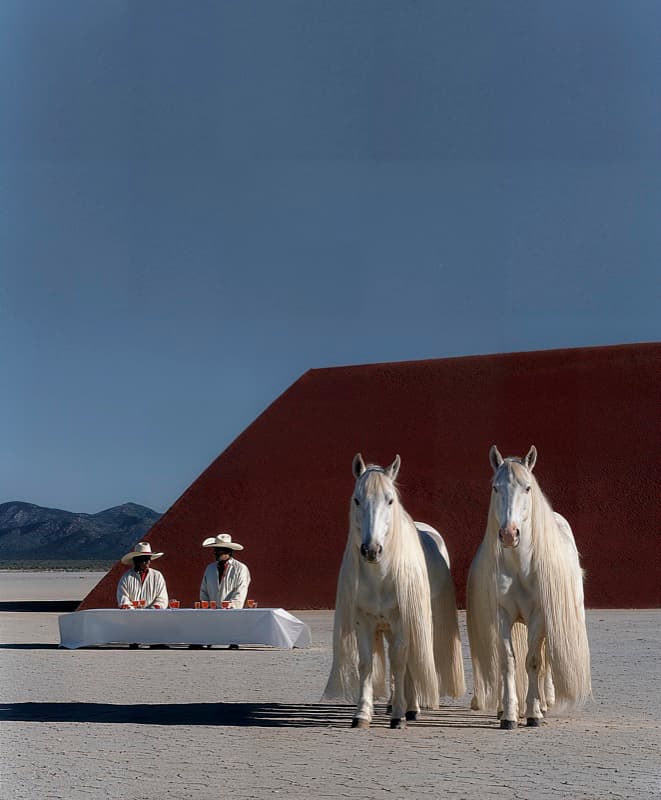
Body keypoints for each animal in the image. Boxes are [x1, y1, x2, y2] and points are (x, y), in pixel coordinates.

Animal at [323, 453, 465, 729]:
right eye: (357, 500)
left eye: (390, 500)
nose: (371, 549)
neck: (380, 577)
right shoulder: (364, 621)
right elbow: (366, 663)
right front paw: (362, 714)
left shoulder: (402, 619)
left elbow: (401, 662)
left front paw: (399, 715)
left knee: (409, 661)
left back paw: (410, 708)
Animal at [466, 445, 591, 729]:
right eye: (496, 487)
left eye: (527, 488)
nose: (509, 534)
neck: (520, 567)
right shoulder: (502, 615)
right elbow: (508, 662)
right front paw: (510, 715)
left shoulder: (540, 615)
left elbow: (533, 661)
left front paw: (533, 713)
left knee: (544, 659)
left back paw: (544, 704)